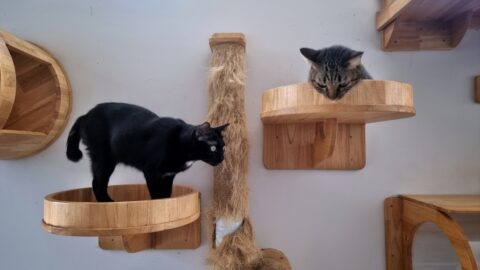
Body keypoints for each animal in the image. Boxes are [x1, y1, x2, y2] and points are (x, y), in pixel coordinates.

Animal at [66, 102, 229, 201]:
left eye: (223, 147)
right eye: (213, 147)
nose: (222, 158)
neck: (179, 140)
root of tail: (85, 115)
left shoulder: (168, 175)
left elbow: (166, 193)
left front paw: (166, 205)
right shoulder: (151, 171)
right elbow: (156, 193)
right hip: (104, 159)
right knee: (96, 183)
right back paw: (107, 202)